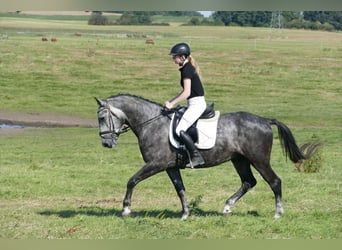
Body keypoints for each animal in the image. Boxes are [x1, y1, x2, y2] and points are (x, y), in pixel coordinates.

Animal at [95, 94, 318, 221]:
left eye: (102, 117)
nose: (106, 143)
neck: (151, 123)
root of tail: (264, 120)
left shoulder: (156, 163)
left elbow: (132, 180)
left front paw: (126, 210)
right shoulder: (170, 166)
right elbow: (180, 189)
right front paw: (185, 214)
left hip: (259, 159)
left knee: (274, 181)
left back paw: (278, 213)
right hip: (239, 160)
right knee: (248, 182)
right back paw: (227, 207)